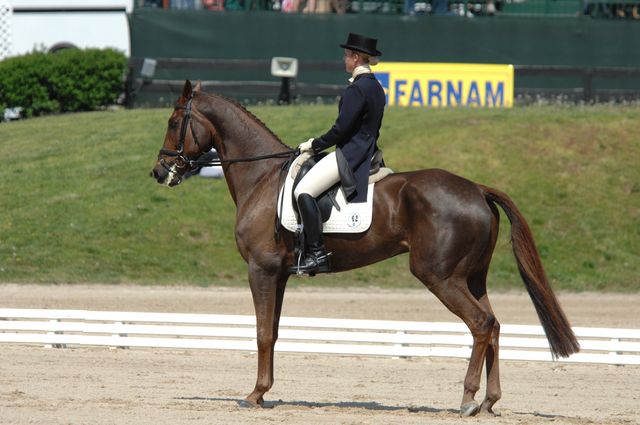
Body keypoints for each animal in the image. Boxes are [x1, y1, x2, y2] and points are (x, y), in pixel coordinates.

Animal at [151, 79, 580, 414]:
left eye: (173, 122)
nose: (159, 171)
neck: (262, 177)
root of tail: (476, 188)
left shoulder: (261, 268)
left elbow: (261, 333)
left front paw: (255, 394)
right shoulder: (280, 274)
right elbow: (272, 330)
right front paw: (264, 392)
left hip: (439, 276)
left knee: (481, 324)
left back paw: (468, 400)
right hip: (472, 277)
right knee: (493, 326)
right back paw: (490, 401)